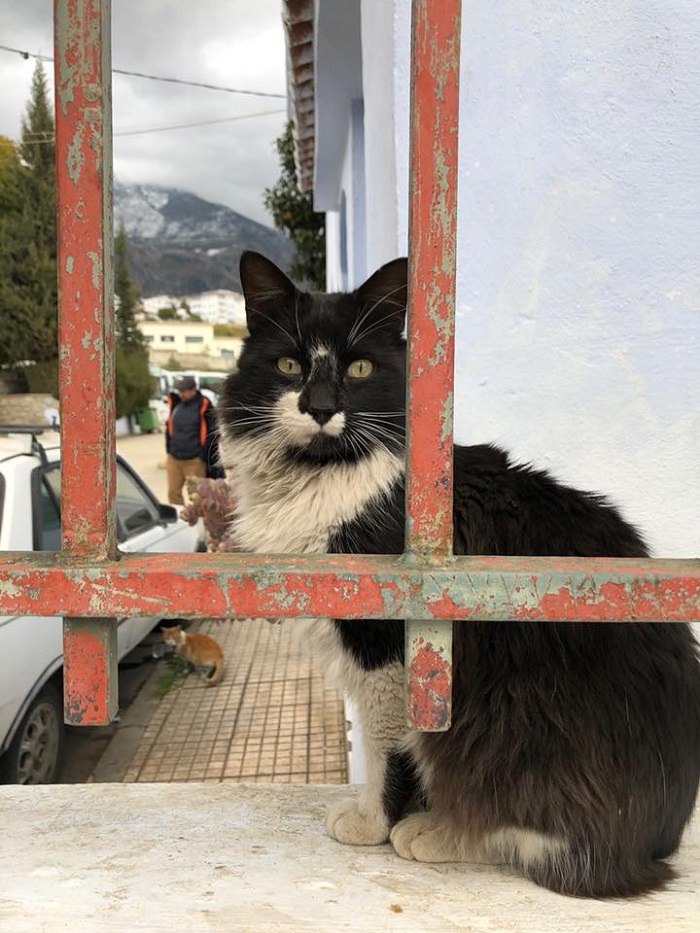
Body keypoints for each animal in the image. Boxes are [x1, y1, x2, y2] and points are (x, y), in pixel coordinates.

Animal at [217, 250, 700, 898]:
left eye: (361, 367)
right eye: (289, 364)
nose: (319, 408)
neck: (327, 478)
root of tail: (659, 844)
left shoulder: (388, 648)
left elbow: (387, 747)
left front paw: (374, 820)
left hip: (512, 722)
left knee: (540, 840)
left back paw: (438, 832)